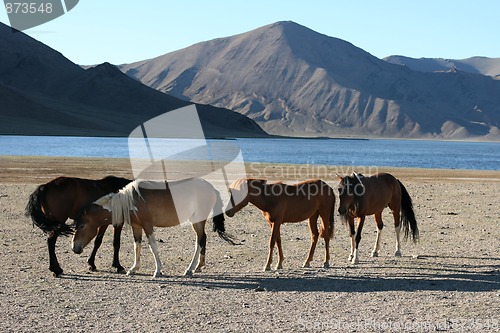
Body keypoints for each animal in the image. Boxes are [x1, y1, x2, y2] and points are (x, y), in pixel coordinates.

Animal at [72, 178, 234, 276]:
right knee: (203, 239)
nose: (75, 248)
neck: (130, 201)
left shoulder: (147, 225)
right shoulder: (137, 227)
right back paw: (199, 266)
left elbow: (153, 246)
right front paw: (134, 268)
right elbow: (137, 246)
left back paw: (189, 269)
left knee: (199, 241)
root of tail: (211, 188)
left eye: (82, 225)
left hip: (198, 221)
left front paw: (158, 271)